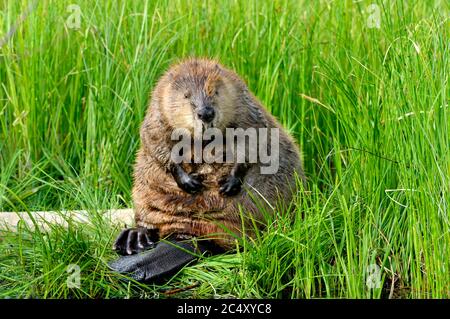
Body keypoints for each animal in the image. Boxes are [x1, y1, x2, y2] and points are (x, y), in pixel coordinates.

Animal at [110, 58, 306, 282]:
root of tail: (186, 235)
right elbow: (156, 142)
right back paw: (134, 239)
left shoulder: (246, 107)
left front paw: (229, 183)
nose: (206, 113)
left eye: (216, 92)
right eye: (186, 95)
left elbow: (254, 140)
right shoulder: (157, 111)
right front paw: (189, 182)